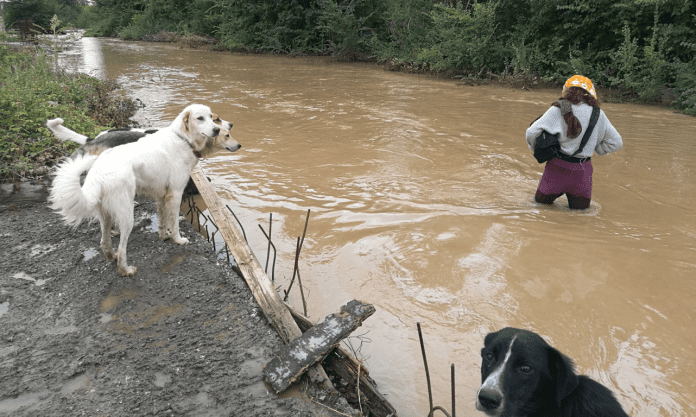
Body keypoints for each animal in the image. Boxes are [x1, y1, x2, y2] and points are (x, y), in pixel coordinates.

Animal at [47, 103, 241, 276]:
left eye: (212, 117)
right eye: (202, 118)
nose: (219, 129)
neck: (183, 140)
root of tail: (99, 169)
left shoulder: (161, 196)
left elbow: (162, 220)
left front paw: (163, 236)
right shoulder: (175, 194)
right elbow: (174, 223)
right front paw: (178, 240)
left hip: (105, 213)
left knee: (104, 242)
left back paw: (111, 255)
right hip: (127, 216)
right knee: (122, 249)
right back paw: (126, 270)